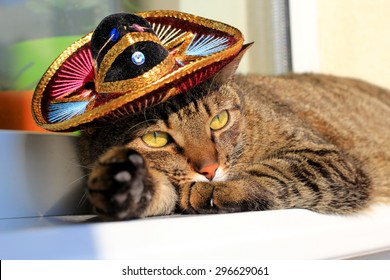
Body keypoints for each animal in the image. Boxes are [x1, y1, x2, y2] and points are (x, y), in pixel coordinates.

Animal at [78, 71, 390, 220]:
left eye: (219, 120)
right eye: (157, 139)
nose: (209, 169)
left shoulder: (332, 159)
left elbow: (275, 171)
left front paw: (220, 188)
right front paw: (126, 185)